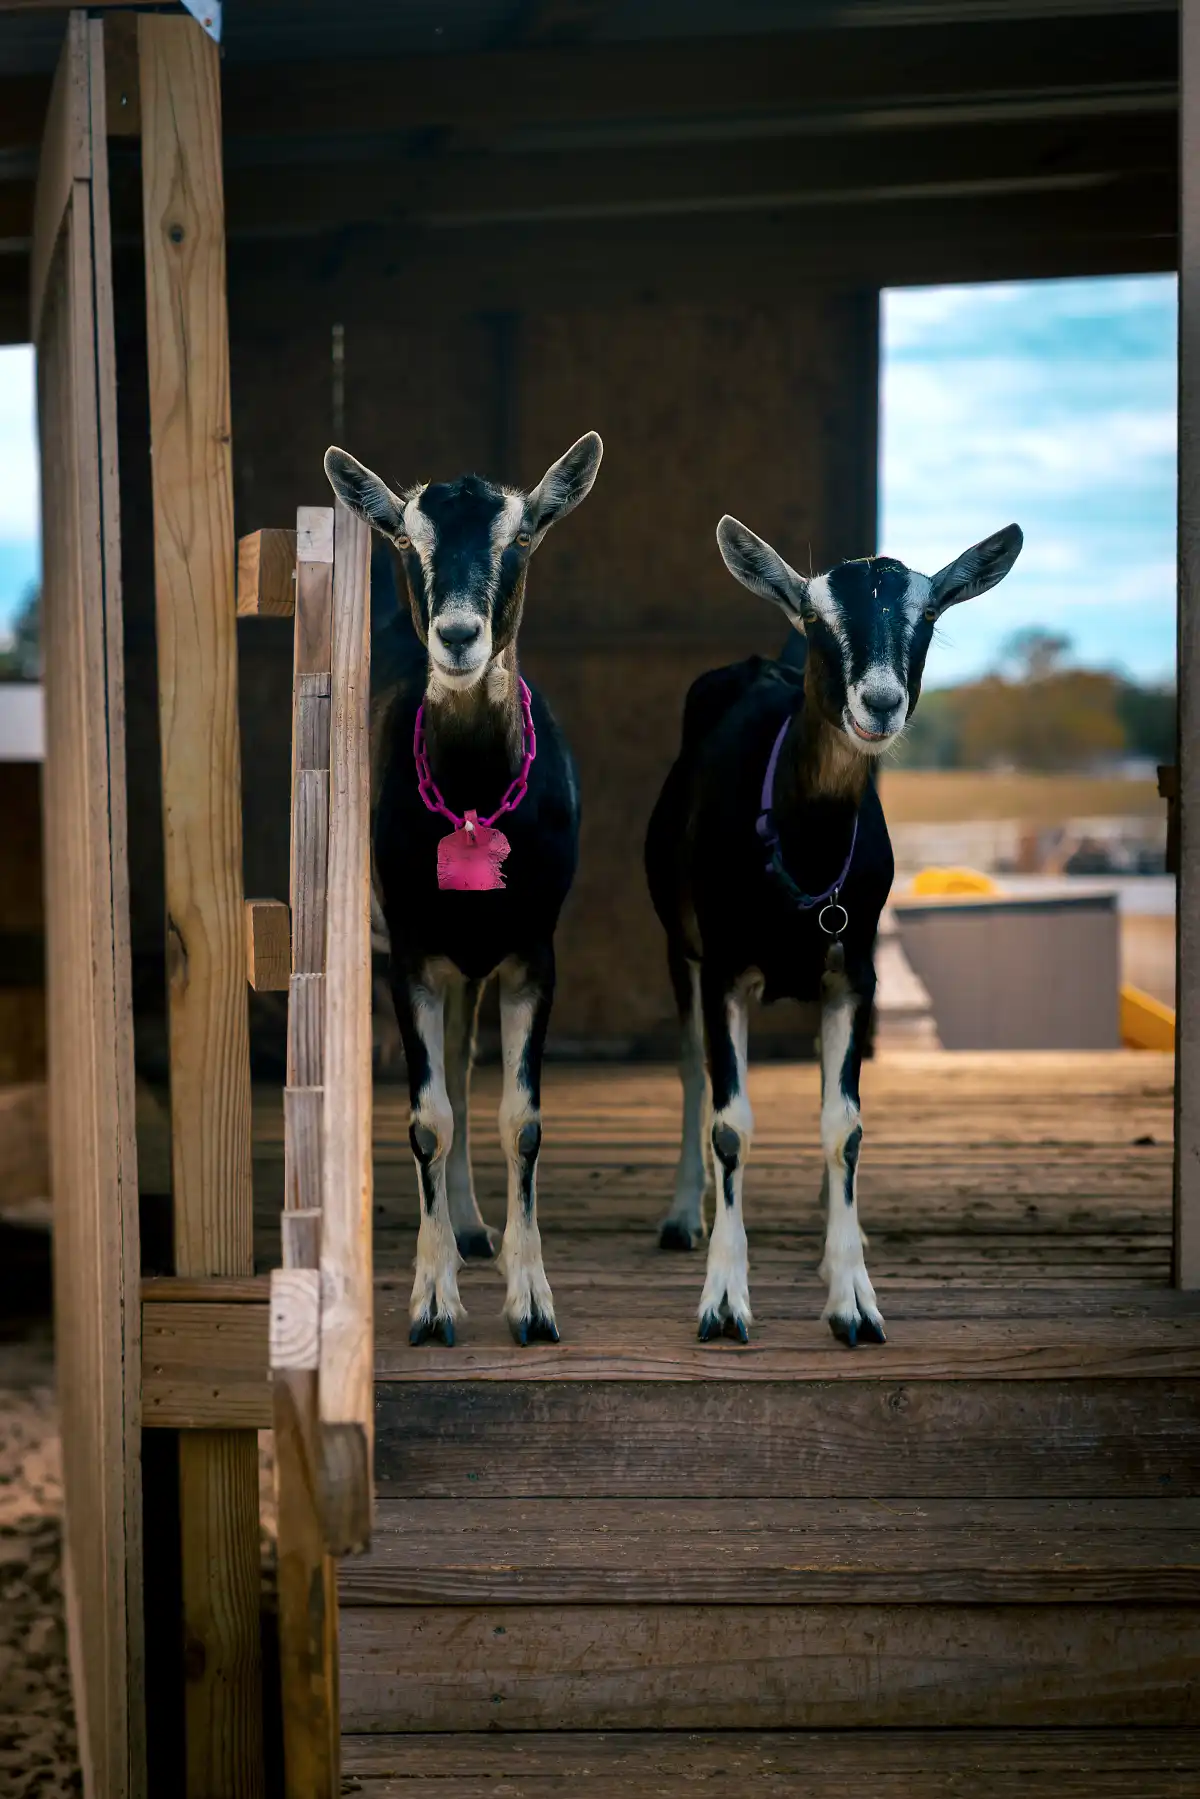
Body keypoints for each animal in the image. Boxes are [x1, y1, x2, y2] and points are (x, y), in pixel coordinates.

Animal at [324, 432, 604, 1346]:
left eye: (520, 539)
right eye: (410, 540)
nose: (456, 634)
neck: (476, 799)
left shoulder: (531, 953)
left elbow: (520, 1118)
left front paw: (532, 1299)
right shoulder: (411, 953)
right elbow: (428, 1117)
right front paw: (433, 1299)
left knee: (462, 1060)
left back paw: (477, 1226)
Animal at [645, 517, 1023, 1344]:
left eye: (928, 613)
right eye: (818, 617)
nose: (878, 701)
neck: (804, 841)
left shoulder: (852, 972)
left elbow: (843, 1125)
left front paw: (852, 1294)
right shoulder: (724, 967)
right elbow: (729, 1122)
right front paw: (724, 1299)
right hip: (679, 944)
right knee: (691, 1073)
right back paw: (685, 1214)